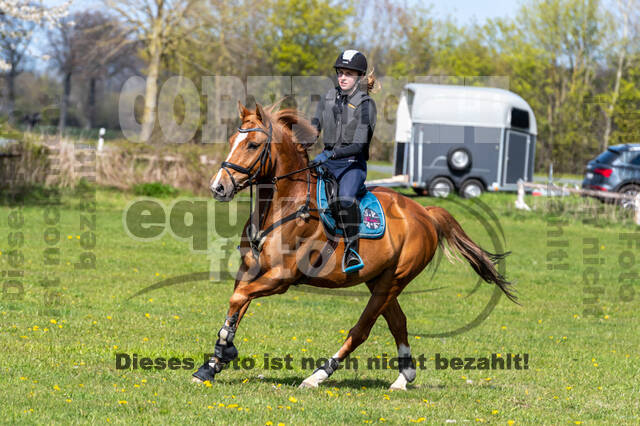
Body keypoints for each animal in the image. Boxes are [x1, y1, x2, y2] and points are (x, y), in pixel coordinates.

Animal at [192, 100, 516, 390]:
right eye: (232, 140)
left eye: (253, 145)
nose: (218, 187)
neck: (283, 206)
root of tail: (424, 212)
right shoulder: (251, 271)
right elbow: (238, 304)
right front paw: (213, 363)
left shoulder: (280, 277)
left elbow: (238, 299)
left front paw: (224, 350)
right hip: (379, 280)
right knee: (398, 322)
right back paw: (403, 378)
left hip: (393, 281)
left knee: (361, 330)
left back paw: (318, 376)